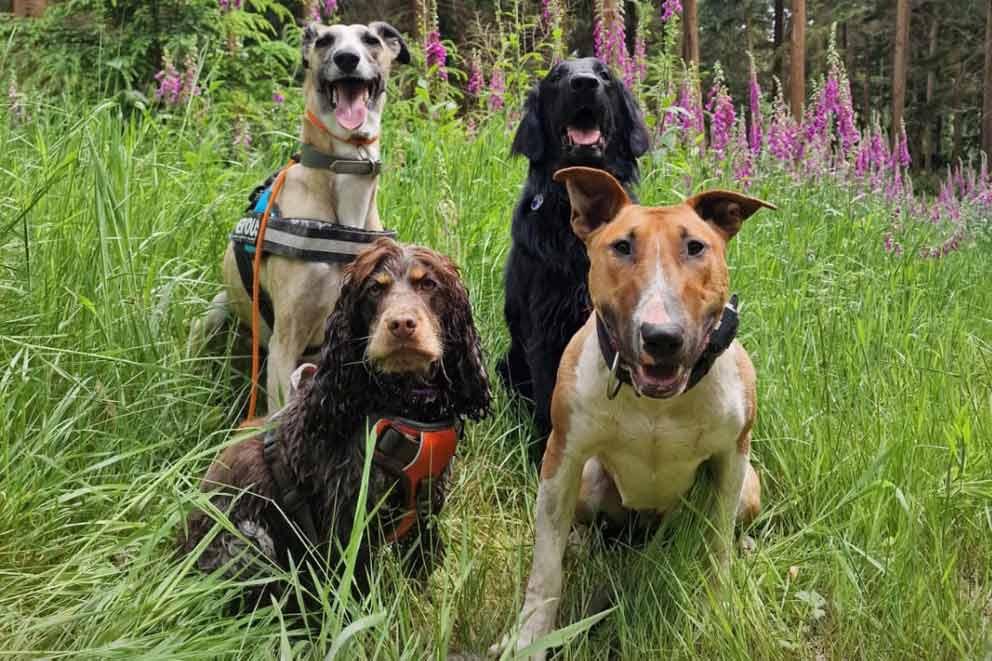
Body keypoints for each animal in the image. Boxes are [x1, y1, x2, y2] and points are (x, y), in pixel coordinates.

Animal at [496, 168, 776, 656]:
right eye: (622, 246)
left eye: (695, 246)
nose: (662, 337)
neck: (656, 403)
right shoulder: (563, 458)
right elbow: (546, 566)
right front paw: (528, 638)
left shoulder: (731, 459)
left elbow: (718, 547)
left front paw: (719, 613)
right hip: (590, 480)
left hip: (748, 486)